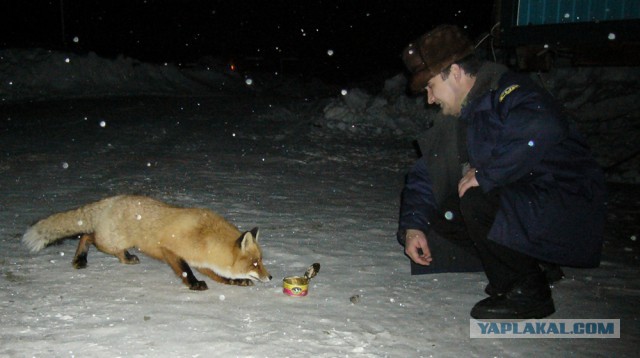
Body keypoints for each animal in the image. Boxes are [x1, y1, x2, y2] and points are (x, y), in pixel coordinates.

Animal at [21, 196, 270, 290]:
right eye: (255, 263)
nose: (271, 277)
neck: (205, 237)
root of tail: (110, 200)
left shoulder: (202, 261)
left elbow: (220, 276)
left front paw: (235, 282)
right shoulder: (170, 250)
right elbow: (185, 271)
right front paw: (194, 285)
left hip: (115, 243)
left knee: (110, 248)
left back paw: (127, 258)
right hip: (107, 242)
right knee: (86, 236)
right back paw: (80, 259)